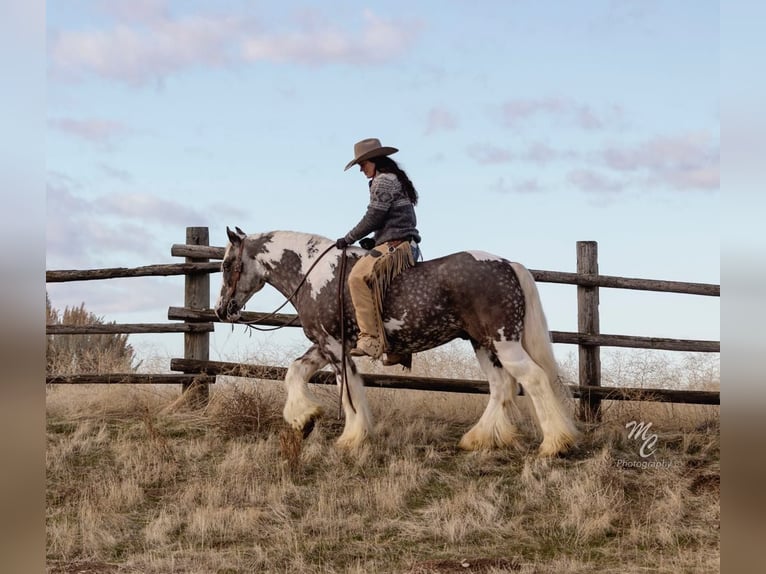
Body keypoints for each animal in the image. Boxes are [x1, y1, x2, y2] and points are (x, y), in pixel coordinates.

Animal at [213, 227, 580, 456]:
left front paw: (351, 436)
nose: (221, 309)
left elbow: (347, 388)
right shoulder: (323, 343)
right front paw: (303, 418)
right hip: (483, 343)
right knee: (501, 386)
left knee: (533, 379)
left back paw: (554, 444)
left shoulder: (333, 345)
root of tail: (508, 265)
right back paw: (477, 439)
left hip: (504, 341)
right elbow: (295, 372)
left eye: (228, 263)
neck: (314, 275)